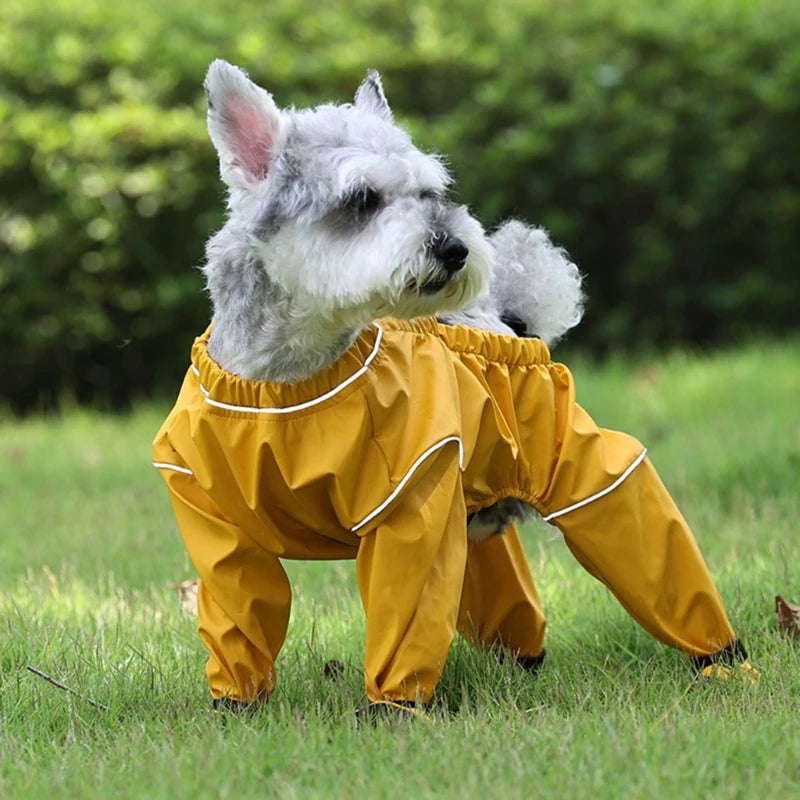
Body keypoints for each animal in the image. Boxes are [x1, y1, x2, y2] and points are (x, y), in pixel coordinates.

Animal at [153, 59, 752, 716]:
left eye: (430, 193)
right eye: (361, 199)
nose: (456, 248)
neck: (287, 379)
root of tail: (510, 320)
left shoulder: (408, 504)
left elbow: (405, 602)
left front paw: (390, 711)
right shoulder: (217, 529)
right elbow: (240, 605)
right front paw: (236, 706)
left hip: (578, 468)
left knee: (630, 514)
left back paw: (721, 659)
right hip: (470, 508)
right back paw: (522, 661)